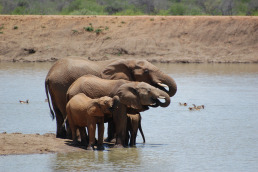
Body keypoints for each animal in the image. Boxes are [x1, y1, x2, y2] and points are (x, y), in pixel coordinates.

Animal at [44, 56, 177, 138]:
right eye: (146, 72)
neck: (128, 61)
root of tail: (49, 74)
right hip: (61, 86)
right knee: (64, 111)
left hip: (56, 87)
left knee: (58, 113)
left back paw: (61, 136)